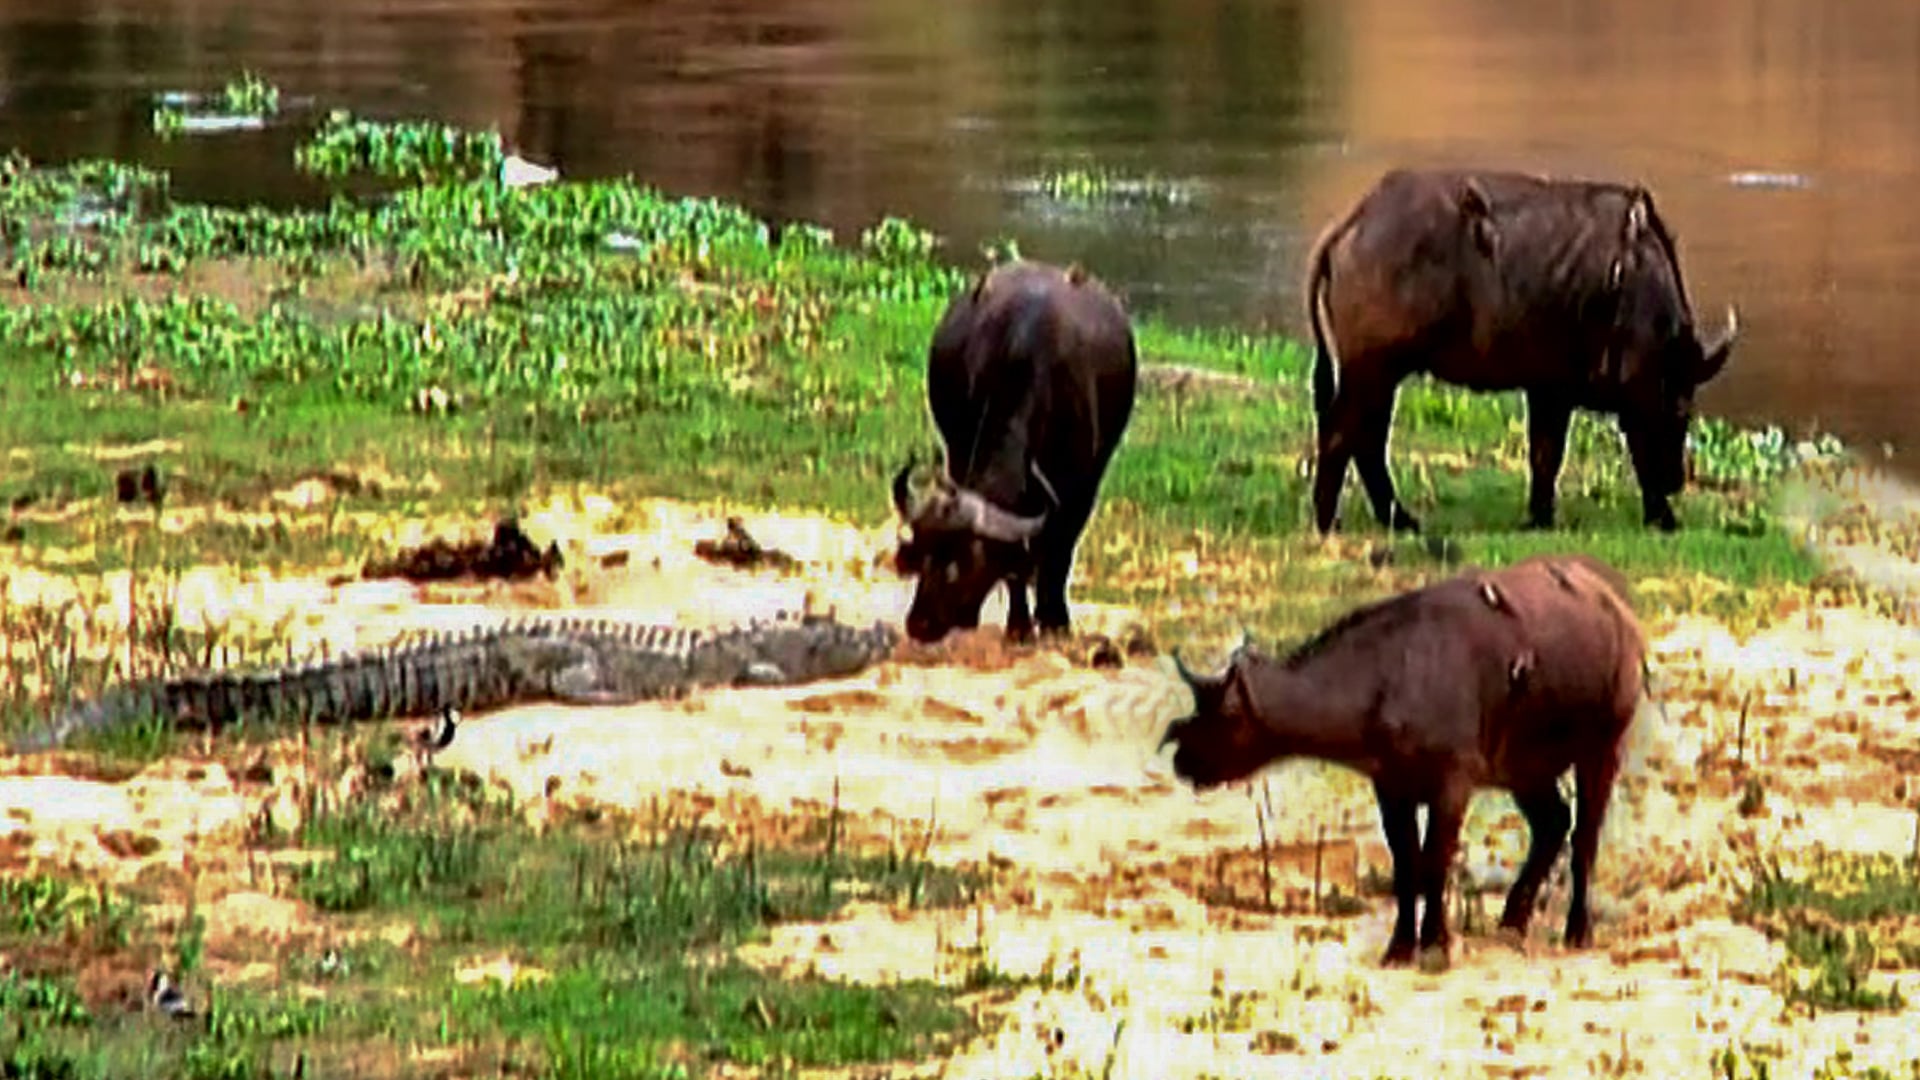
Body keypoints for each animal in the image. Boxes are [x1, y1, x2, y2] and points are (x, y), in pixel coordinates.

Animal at [890, 260, 1138, 644]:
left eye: (961, 561)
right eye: (922, 551)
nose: (920, 624)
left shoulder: (1081, 489)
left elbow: (1058, 554)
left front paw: (1054, 620)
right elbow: (1017, 564)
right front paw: (1019, 625)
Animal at [1158, 553, 1647, 968]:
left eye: (1222, 714)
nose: (1183, 760)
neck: (1388, 678)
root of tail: (1616, 607)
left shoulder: (1452, 785)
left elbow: (1435, 862)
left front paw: (1436, 943)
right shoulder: (1391, 788)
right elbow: (1406, 865)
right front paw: (1400, 946)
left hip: (1602, 749)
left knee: (1584, 837)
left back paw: (1578, 929)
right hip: (1526, 768)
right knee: (1552, 824)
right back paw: (1512, 921)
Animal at [1305, 167, 1739, 534]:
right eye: (1683, 409)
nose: (1677, 480)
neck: (1635, 281)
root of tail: (1350, 228)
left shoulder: (1549, 389)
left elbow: (1544, 455)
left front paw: (1539, 518)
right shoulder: (1636, 391)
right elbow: (1637, 452)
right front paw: (1663, 517)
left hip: (1380, 374)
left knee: (1368, 439)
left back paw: (1398, 518)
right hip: (1371, 370)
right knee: (1342, 433)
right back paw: (1329, 521)